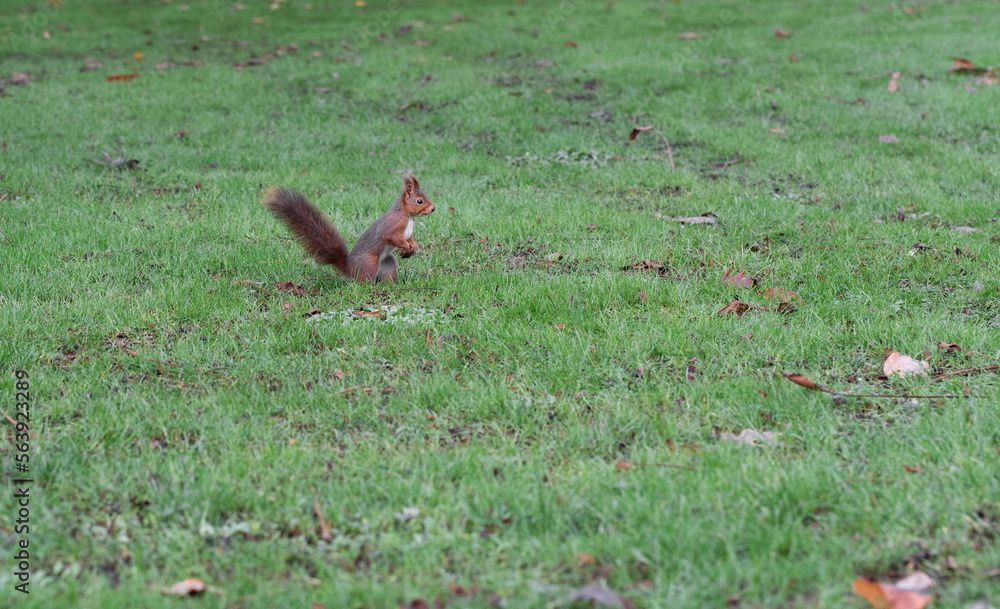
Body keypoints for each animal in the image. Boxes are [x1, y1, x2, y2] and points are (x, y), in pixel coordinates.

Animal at [263, 174, 434, 283]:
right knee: (362, 282)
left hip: (387, 263)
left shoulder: (409, 231)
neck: (409, 217)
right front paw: (405, 247)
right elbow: (393, 237)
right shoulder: (393, 226)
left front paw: (413, 247)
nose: (433, 209)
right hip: (369, 262)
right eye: (419, 201)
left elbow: (410, 239)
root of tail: (349, 268)